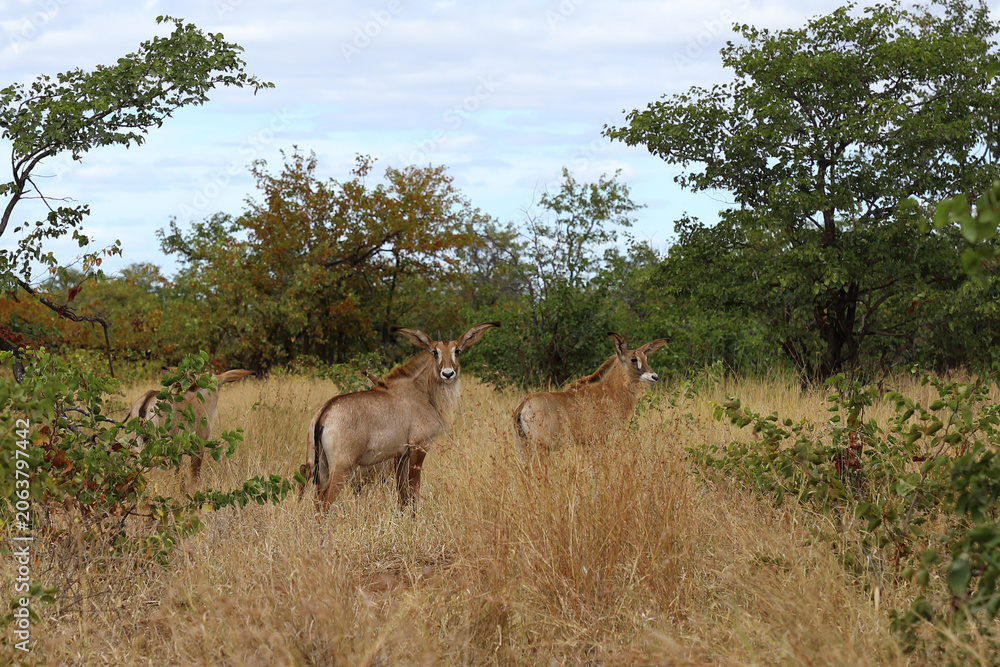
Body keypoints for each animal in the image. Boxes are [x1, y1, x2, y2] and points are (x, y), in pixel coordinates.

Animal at [300, 321, 501, 510]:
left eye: (457, 351)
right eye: (434, 352)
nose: (448, 373)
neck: (422, 391)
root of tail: (324, 414)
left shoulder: (400, 454)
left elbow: (402, 494)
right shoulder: (419, 446)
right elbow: (413, 490)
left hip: (321, 467)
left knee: (317, 499)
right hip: (342, 467)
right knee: (325, 499)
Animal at [512, 333, 666, 455]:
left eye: (646, 359)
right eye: (633, 359)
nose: (654, 376)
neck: (609, 390)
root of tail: (522, 407)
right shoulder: (600, 439)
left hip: (522, 448)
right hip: (542, 447)